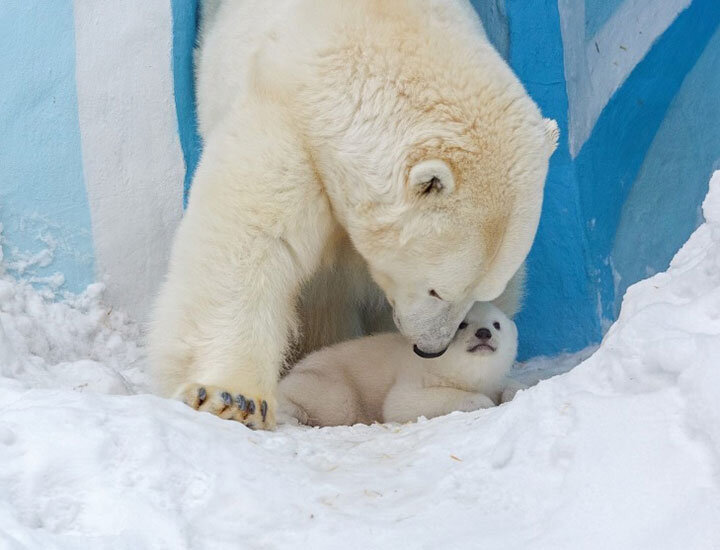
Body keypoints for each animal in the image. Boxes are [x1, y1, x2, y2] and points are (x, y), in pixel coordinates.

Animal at [149, 0, 560, 432]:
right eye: (438, 290)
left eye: (481, 295)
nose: (431, 348)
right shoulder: (289, 127)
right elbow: (250, 237)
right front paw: (233, 397)